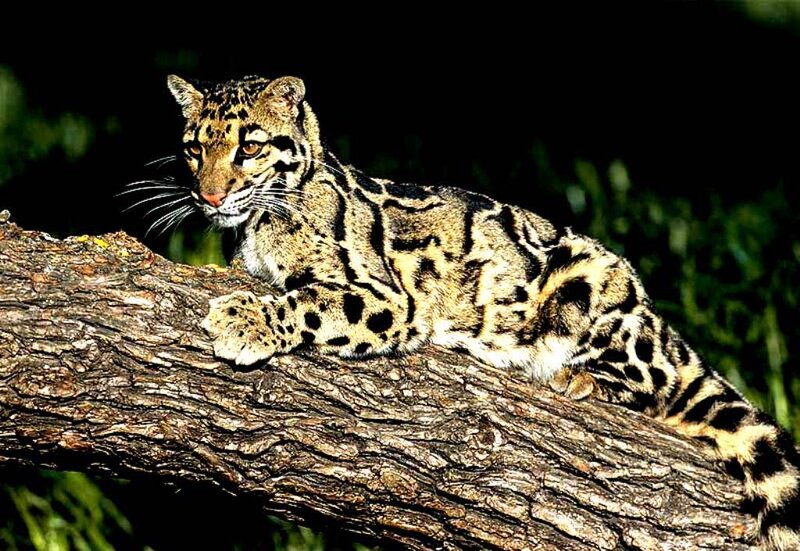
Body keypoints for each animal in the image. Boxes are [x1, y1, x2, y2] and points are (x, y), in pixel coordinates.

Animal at [164, 74, 799, 550]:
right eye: (194, 148)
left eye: (249, 146)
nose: (209, 196)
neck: (254, 225)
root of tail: (656, 316)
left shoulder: (387, 298)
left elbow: (311, 301)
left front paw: (244, 321)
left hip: (595, 283)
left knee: (658, 378)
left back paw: (583, 377)